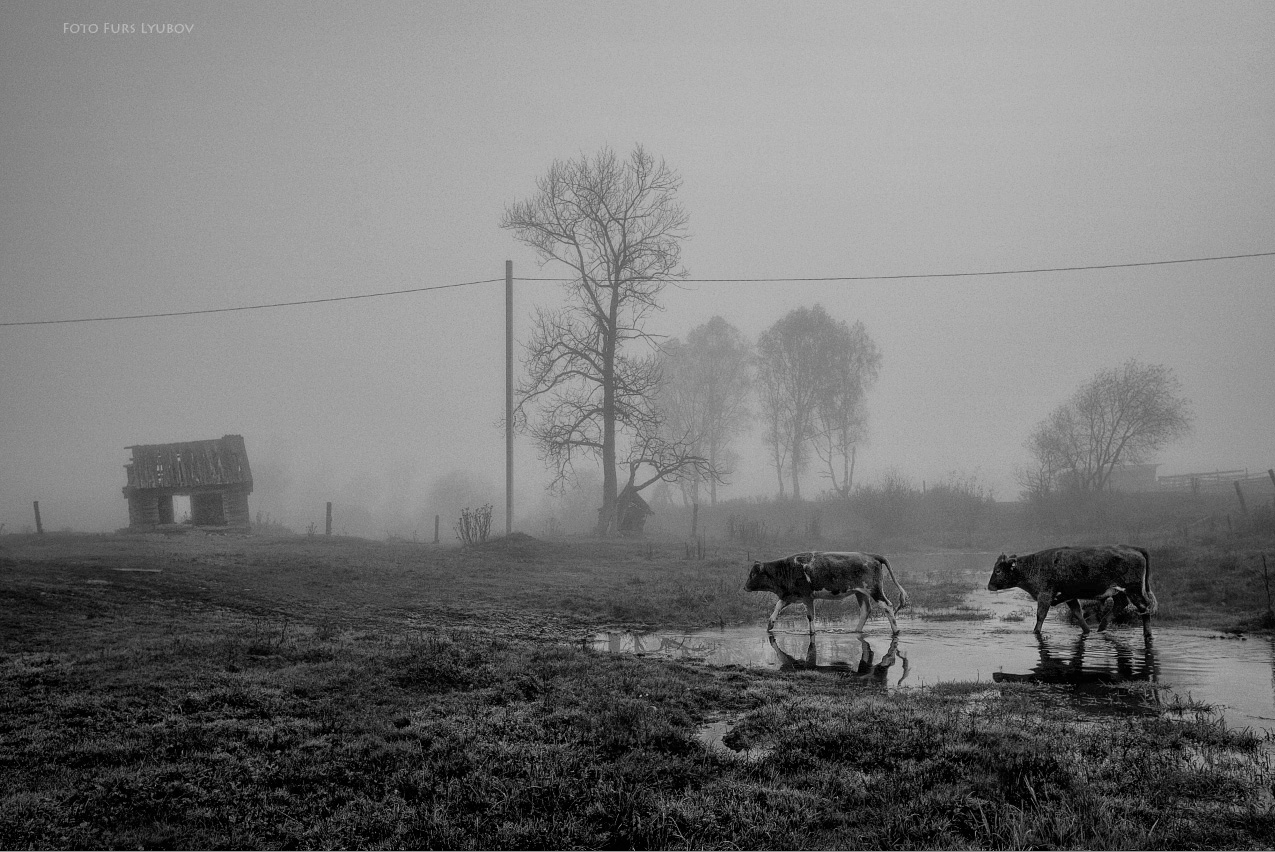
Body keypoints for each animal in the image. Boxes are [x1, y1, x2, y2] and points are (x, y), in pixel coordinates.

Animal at [744, 553, 912, 632]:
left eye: (752, 574)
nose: (745, 587)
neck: (788, 568)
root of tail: (871, 555)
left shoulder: (806, 597)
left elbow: (810, 616)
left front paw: (812, 632)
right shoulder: (790, 595)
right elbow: (777, 607)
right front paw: (770, 624)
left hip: (874, 590)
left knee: (887, 606)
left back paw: (896, 630)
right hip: (860, 592)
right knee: (865, 610)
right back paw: (856, 631)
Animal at [984, 548, 1157, 635]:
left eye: (998, 570)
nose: (989, 586)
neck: (1034, 565)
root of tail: (1135, 550)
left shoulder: (1045, 596)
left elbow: (1041, 615)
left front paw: (1036, 632)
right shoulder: (1070, 597)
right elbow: (1078, 614)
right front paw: (1087, 630)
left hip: (1134, 591)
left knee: (1144, 608)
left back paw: (1147, 634)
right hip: (1120, 592)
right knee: (1121, 604)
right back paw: (1101, 627)